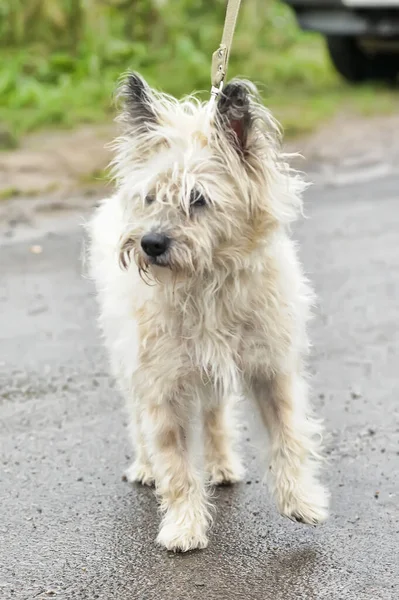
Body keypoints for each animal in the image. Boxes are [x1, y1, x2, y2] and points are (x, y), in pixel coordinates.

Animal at [89, 72, 330, 552]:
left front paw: (300, 502)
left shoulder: (271, 371)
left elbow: (289, 437)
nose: (150, 243)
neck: (207, 284)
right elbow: (177, 466)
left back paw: (221, 465)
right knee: (139, 421)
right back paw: (145, 467)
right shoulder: (162, 386)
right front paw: (184, 526)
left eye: (198, 198)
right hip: (131, 367)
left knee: (216, 415)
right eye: (150, 197)